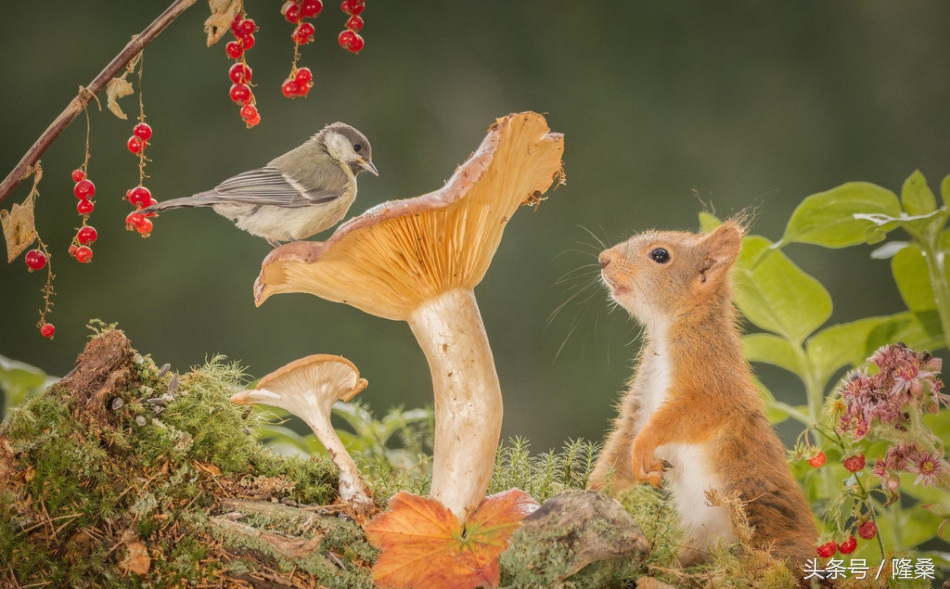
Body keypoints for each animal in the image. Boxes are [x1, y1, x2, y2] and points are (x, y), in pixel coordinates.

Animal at [588, 219, 820, 564]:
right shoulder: (642, 400)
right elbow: (621, 448)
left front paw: (644, 447)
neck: (670, 328)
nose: (604, 259)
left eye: (660, 255)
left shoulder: (712, 382)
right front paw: (588, 492)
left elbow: (684, 418)